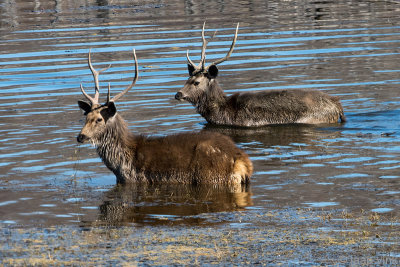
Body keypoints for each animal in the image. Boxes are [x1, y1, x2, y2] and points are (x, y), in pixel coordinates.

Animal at [76, 49, 252, 185]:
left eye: (99, 119)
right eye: (86, 117)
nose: (80, 136)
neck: (121, 165)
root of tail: (243, 162)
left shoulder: (135, 180)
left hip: (211, 177)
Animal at [175, 23, 346, 127]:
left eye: (196, 82)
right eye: (187, 79)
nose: (178, 94)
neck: (223, 112)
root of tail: (337, 104)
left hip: (312, 118)